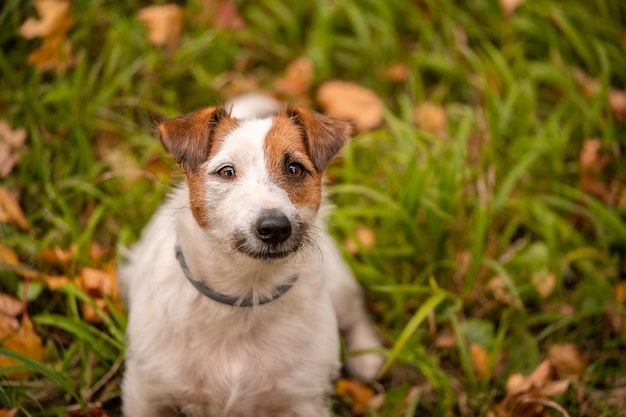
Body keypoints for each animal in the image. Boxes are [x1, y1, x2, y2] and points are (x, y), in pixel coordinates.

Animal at [117, 94, 380, 416]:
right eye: (226, 171)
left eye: (295, 169)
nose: (275, 227)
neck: (245, 294)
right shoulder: (145, 393)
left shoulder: (304, 400)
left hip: (339, 284)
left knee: (355, 311)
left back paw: (366, 355)